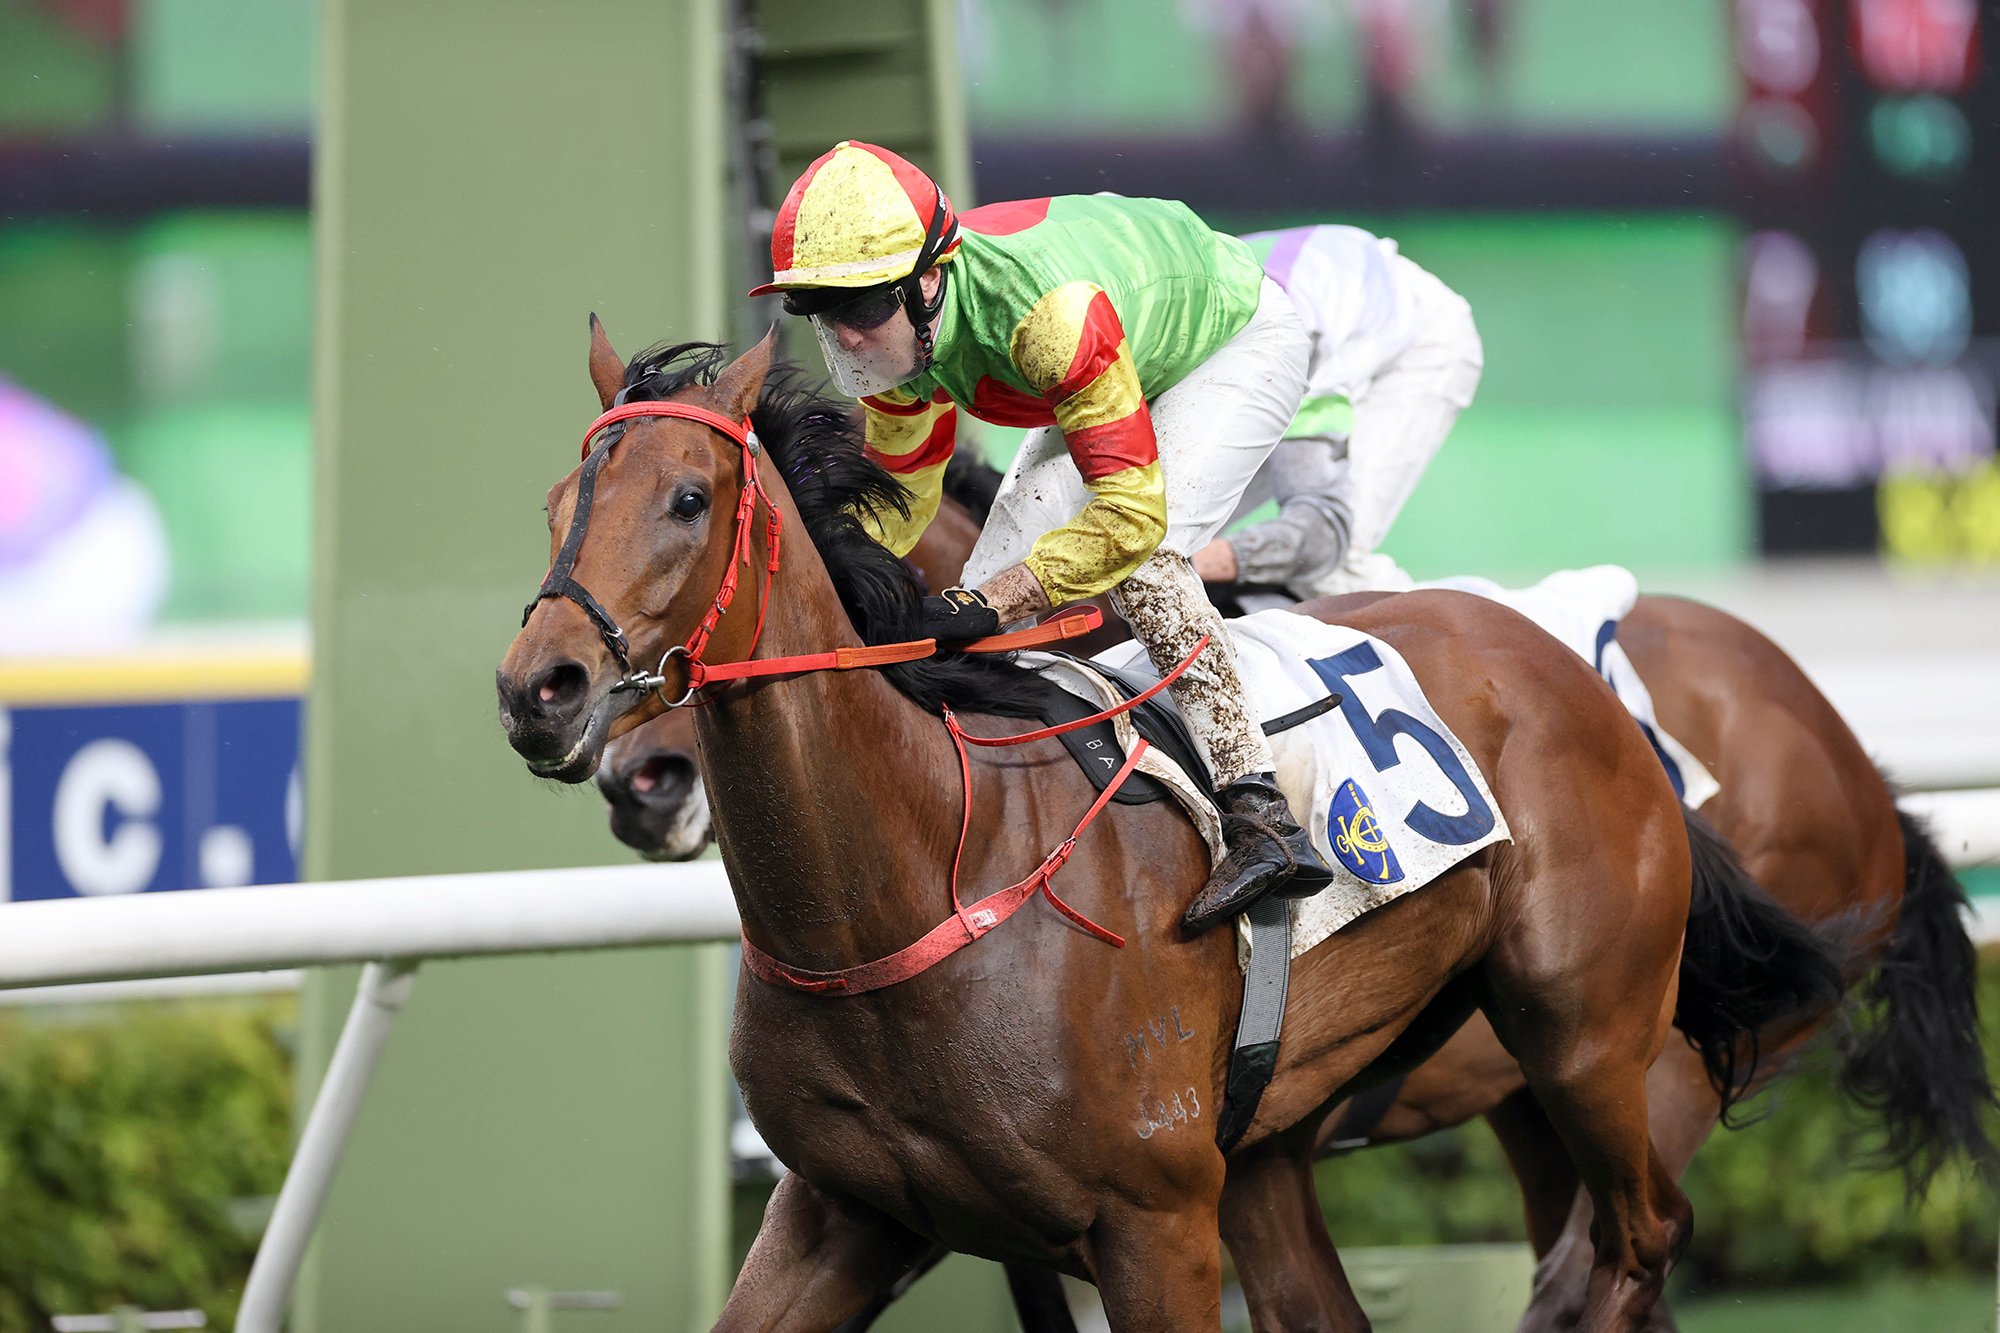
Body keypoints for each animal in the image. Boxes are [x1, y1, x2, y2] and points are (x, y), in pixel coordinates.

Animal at [492, 324, 1832, 1328]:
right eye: (557, 501)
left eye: (686, 497)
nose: (542, 690)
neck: (914, 875)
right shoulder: (844, 1211)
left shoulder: (1152, 1223)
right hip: (1293, 1144)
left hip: (1586, 1038)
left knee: (1635, 1241)